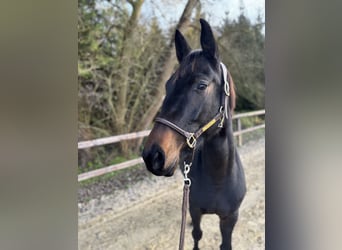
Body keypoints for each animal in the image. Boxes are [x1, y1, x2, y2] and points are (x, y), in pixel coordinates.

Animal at [142, 18, 246, 249]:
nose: (153, 155)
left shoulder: (230, 218)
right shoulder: (196, 211)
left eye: (202, 85)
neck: (218, 178)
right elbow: (197, 235)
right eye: (168, 85)